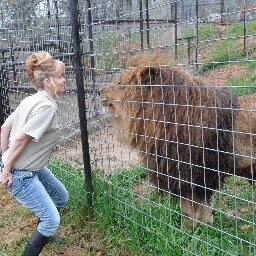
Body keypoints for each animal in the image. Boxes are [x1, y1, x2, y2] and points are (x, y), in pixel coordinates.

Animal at [97, 62, 256, 228]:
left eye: (119, 83)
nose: (98, 91)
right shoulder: (202, 177)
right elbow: (205, 207)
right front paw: (206, 226)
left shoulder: (187, 174)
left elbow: (189, 210)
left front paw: (189, 231)